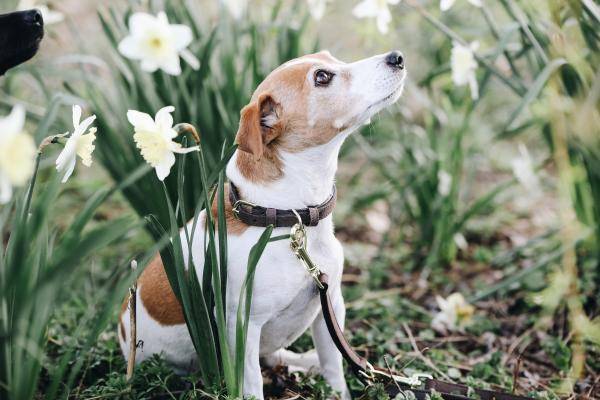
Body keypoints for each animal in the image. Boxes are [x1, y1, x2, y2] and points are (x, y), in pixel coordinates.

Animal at [119, 50, 406, 400]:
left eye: (332, 59)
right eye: (322, 77)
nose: (396, 57)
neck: (288, 218)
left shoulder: (331, 306)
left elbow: (333, 366)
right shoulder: (242, 326)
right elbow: (252, 381)